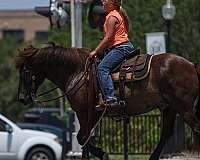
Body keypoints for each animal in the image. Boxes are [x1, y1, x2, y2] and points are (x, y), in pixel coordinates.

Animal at [14, 45, 200, 160]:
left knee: (196, 128)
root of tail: (191, 65)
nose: (22, 98)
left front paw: (102, 154)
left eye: (26, 71)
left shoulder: (86, 112)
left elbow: (83, 137)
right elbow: (84, 138)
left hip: (184, 108)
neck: (77, 72)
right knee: (165, 134)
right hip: (169, 108)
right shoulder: (91, 114)